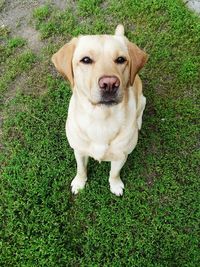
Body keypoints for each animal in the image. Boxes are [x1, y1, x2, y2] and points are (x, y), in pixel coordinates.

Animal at [52, 25, 148, 197]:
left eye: (121, 59)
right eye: (86, 60)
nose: (109, 84)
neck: (101, 119)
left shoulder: (121, 156)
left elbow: (114, 173)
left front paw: (115, 185)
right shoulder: (79, 150)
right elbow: (81, 169)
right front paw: (79, 182)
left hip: (142, 98)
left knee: (141, 109)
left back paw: (138, 122)